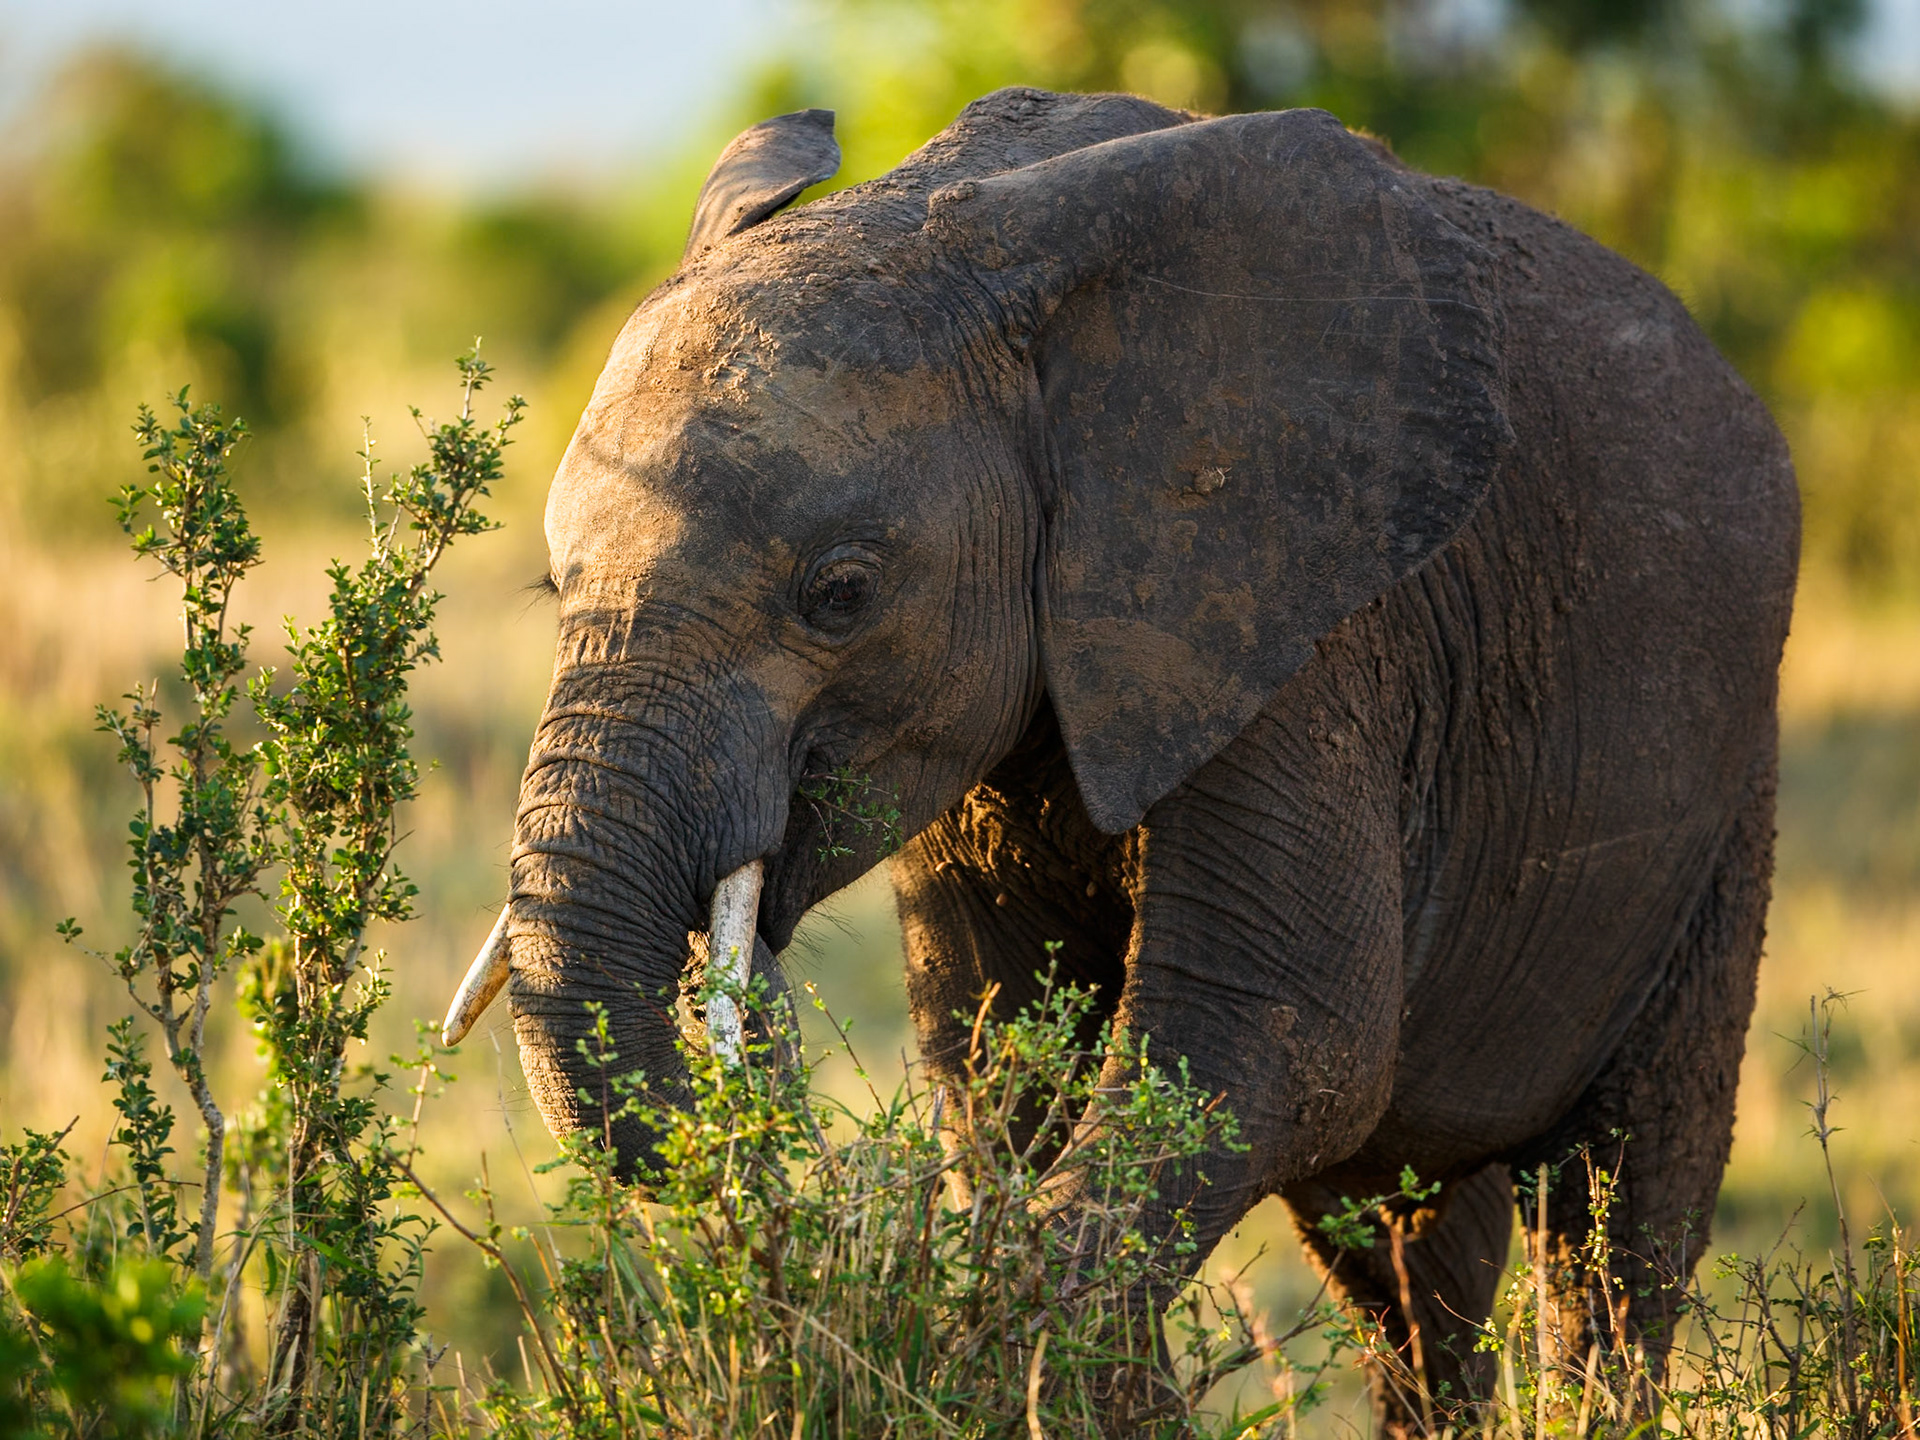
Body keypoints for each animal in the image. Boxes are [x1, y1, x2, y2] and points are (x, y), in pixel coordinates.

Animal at [444, 88, 1798, 1429]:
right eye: (554, 585)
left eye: (841, 593)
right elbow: (997, 1055)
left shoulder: (1292, 624)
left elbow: (1273, 1038)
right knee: (1405, 1242)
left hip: (1726, 784)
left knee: (1622, 1208)